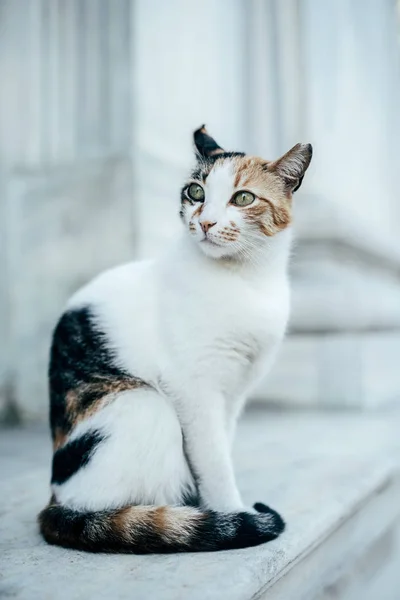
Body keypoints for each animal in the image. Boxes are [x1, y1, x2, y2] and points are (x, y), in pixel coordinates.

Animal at [38, 125, 312, 552]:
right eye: (195, 192)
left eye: (243, 198)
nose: (206, 222)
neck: (245, 279)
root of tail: (55, 502)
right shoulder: (194, 389)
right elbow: (214, 462)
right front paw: (232, 515)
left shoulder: (233, 394)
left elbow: (217, 450)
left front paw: (220, 513)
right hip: (146, 405)